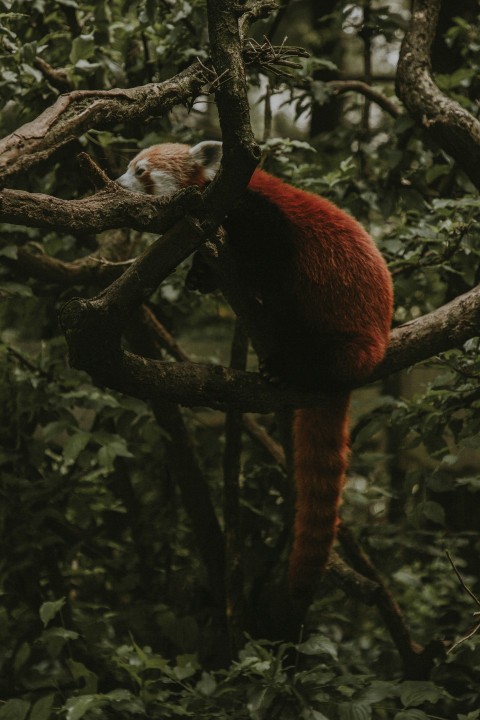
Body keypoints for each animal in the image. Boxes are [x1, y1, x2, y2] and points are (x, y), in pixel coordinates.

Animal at [117, 142, 394, 600]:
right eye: (127, 168)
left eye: (140, 171)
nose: (116, 184)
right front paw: (199, 274)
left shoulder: (261, 215)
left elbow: (270, 259)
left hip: (342, 333)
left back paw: (285, 364)